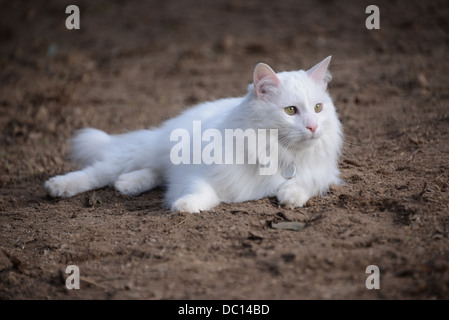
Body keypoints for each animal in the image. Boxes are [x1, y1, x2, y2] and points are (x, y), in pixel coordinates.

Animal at [45, 57, 342, 212]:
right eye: (291, 110)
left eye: (318, 107)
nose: (313, 127)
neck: (276, 150)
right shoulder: (202, 175)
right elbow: (200, 193)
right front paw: (184, 205)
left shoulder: (322, 174)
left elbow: (305, 186)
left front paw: (290, 198)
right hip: (139, 154)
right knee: (97, 173)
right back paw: (58, 187)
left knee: (155, 173)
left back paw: (127, 185)